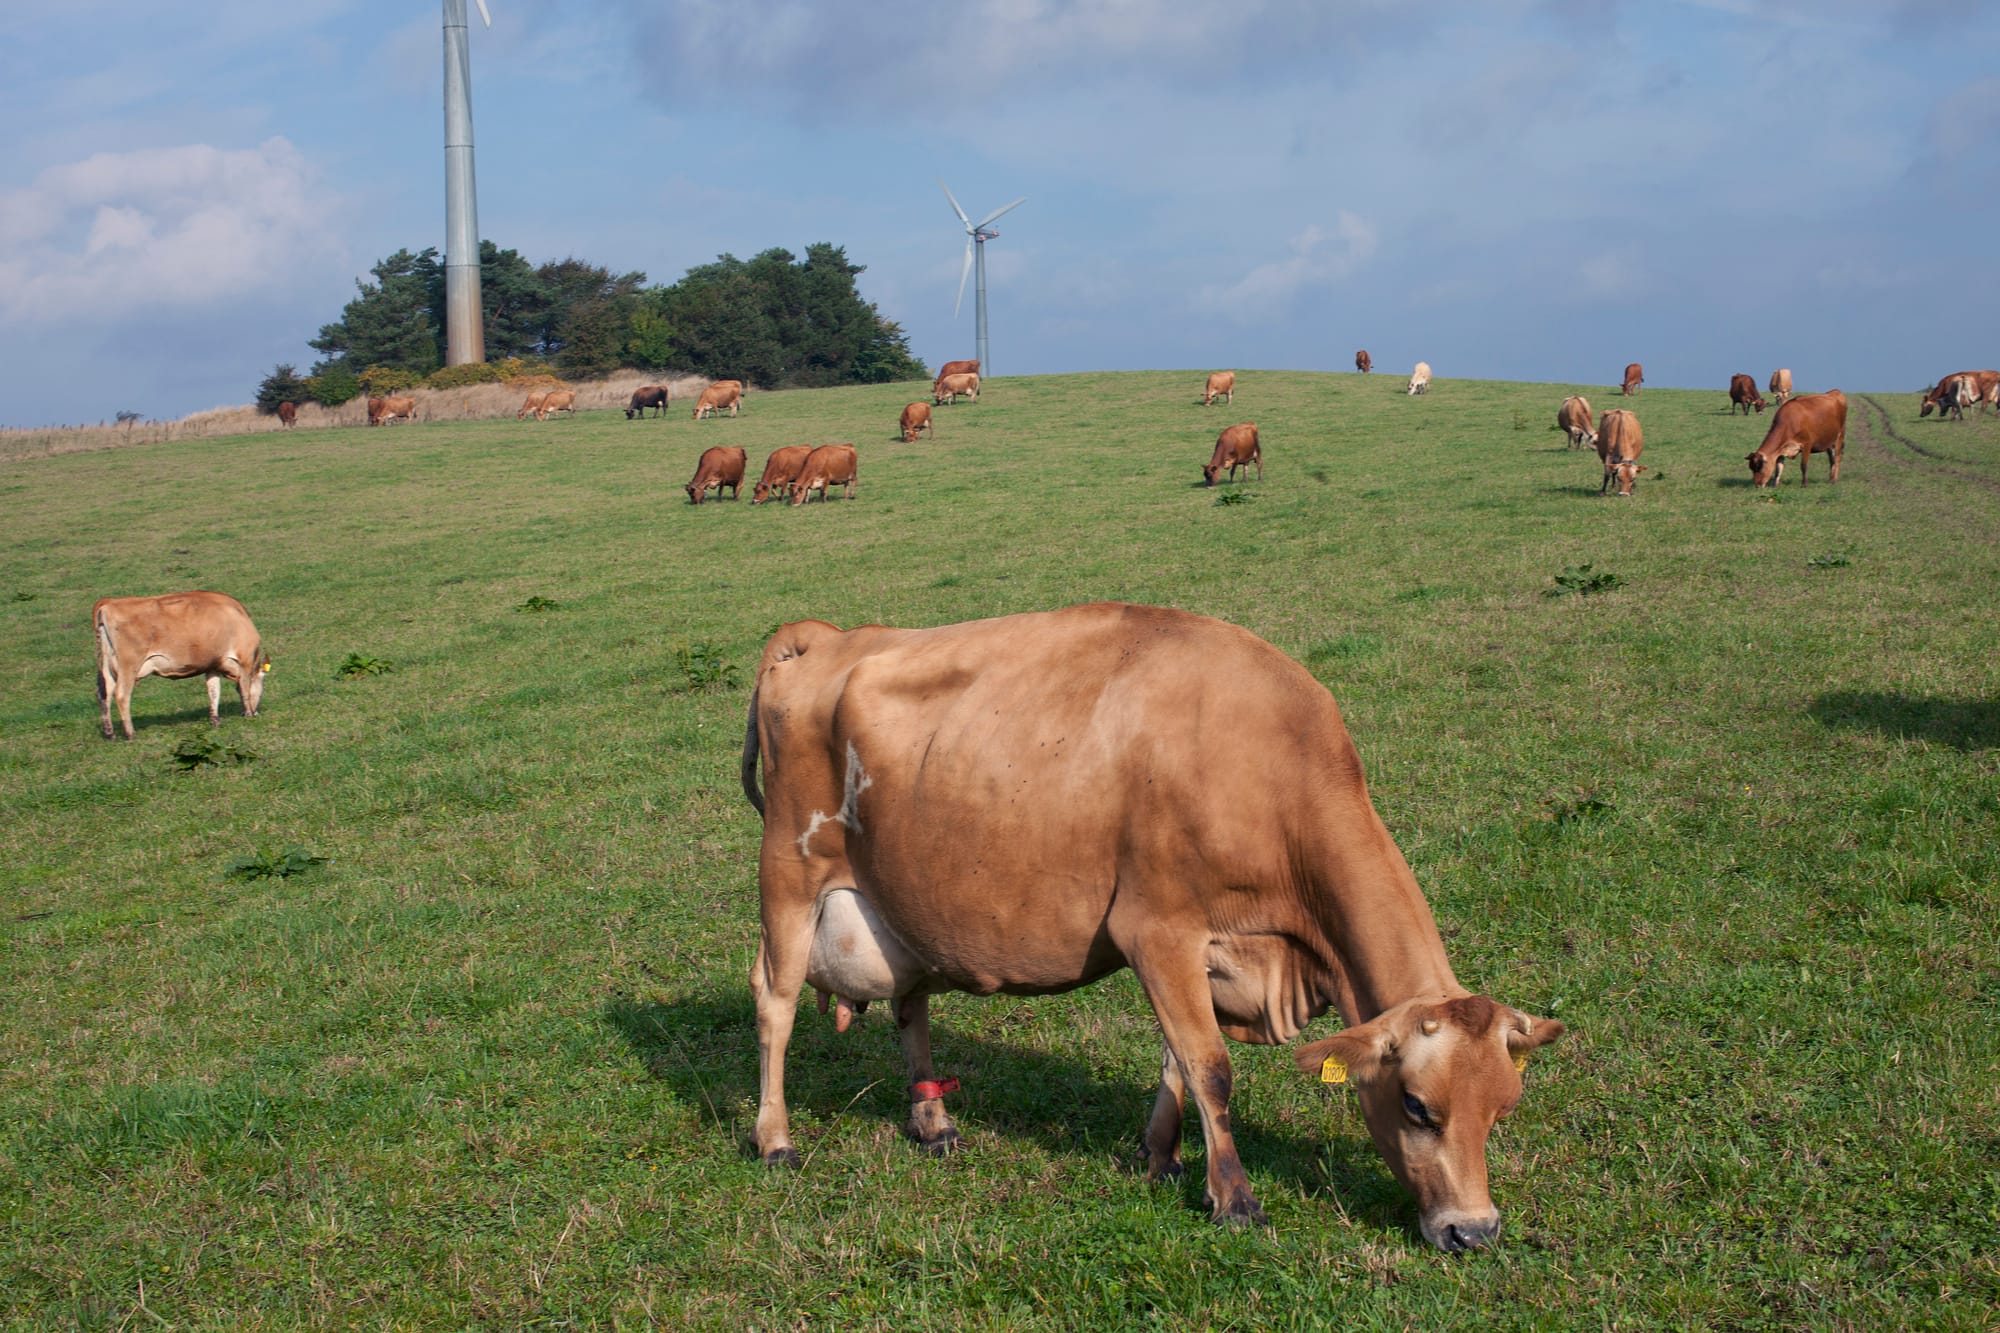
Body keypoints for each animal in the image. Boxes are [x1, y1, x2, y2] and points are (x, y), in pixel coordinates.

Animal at [93, 591, 268, 741]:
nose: (256, 712)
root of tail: (110, 602)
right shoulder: (245, 660)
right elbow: (244, 688)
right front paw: (248, 714)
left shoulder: (212, 665)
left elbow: (214, 691)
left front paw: (215, 720)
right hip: (129, 664)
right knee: (122, 695)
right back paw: (130, 733)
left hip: (107, 666)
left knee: (104, 694)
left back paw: (110, 734)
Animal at [739, 602, 1565, 1247]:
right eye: (1419, 1106)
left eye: (1504, 1108)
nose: (1474, 1231)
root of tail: (822, 635)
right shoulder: (1157, 928)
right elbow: (1210, 1066)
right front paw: (1235, 1198)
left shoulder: (1205, 951)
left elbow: (1175, 1059)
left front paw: (1161, 1157)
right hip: (788, 875)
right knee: (774, 1002)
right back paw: (775, 1139)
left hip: (899, 904)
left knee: (911, 1005)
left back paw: (933, 1121)